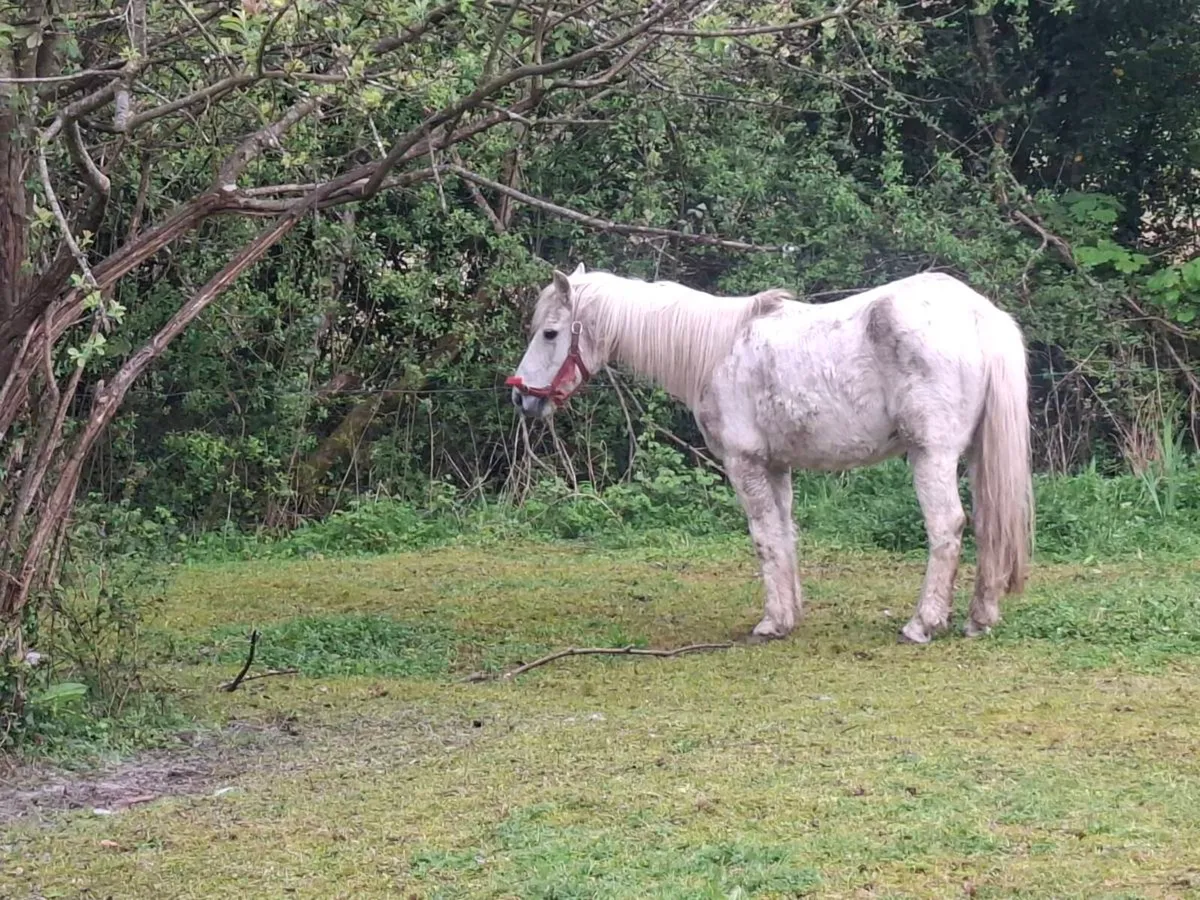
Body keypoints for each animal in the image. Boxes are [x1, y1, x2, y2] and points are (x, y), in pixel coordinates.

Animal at [506, 264, 1033, 645]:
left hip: (931, 456)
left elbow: (764, 539)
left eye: (550, 333)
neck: (717, 352)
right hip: (976, 458)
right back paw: (980, 618)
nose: (521, 397)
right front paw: (790, 613)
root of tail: (979, 316)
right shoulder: (777, 468)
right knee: (989, 527)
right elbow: (785, 535)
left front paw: (772, 623)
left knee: (947, 528)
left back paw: (922, 624)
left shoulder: (746, 465)